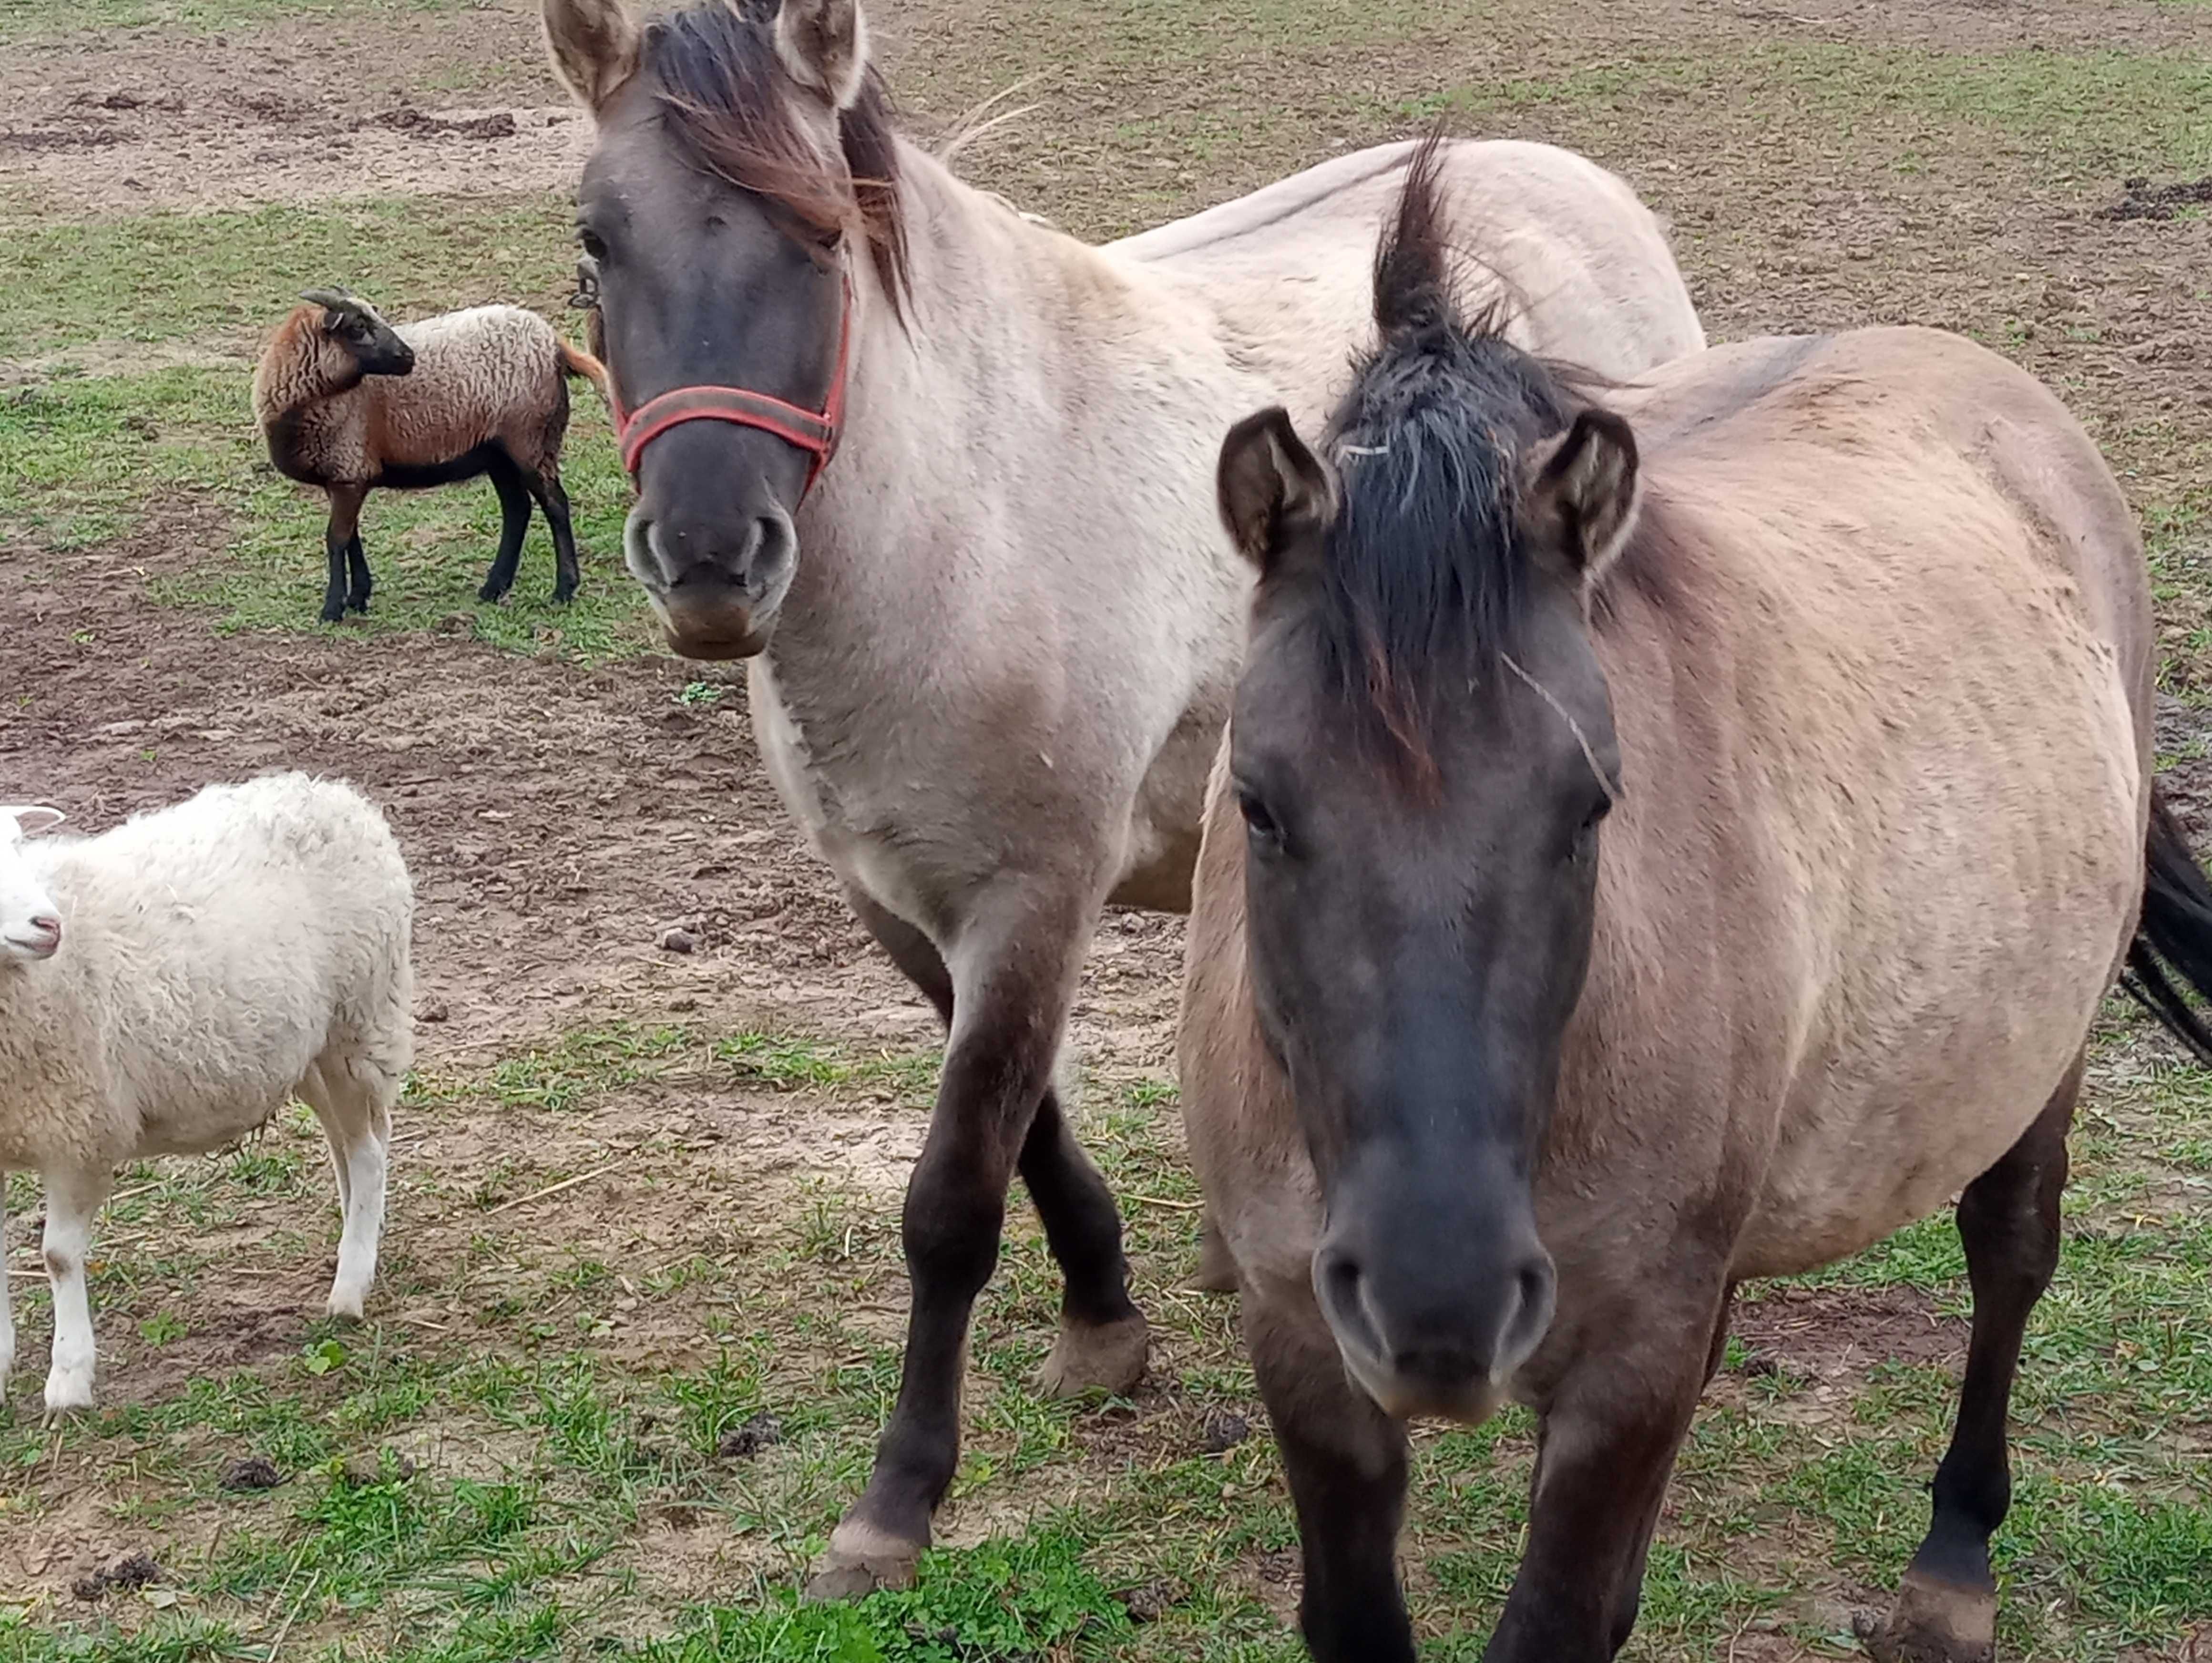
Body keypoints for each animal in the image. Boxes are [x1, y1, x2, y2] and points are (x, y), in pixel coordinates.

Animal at [0, 774, 413, 1406]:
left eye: (20, 847)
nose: (49, 925)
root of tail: (338, 795)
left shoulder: (82, 1128)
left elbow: (59, 1257)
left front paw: (69, 1378)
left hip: (359, 1016)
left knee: (367, 1150)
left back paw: (349, 1287)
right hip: (311, 1049)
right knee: (354, 1139)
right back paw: (361, 1240)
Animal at [254, 289, 610, 619]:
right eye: (358, 326)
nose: (408, 357)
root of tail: (553, 342)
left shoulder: (349, 470)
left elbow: (336, 539)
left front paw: (333, 609)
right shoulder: (343, 474)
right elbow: (351, 536)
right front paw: (357, 597)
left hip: (531, 441)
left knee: (556, 505)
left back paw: (563, 590)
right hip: (499, 453)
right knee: (518, 509)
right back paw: (494, 588)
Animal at [544, 0, 1699, 1601]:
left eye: (821, 236)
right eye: (597, 240)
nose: (713, 557)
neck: (964, 510)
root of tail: (1576, 185)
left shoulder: (1031, 897)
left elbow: (954, 1194)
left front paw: (898, 1496)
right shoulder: (906, 902)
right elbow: (1029, 1130)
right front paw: (1103, 1318)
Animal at [1194, 143, 2212, 1663]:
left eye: (1593, 802)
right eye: (1257, 801)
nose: (1439, 1304)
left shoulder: (1630, 1366)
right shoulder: (1302, 1343)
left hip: (2042, 1056)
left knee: (2009, 1247)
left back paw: (1954, 1558)